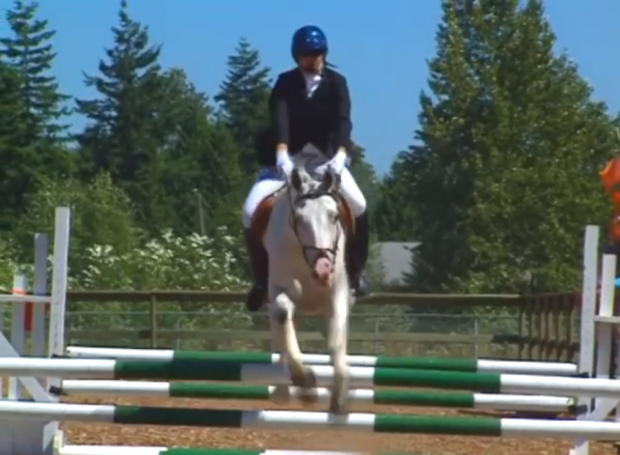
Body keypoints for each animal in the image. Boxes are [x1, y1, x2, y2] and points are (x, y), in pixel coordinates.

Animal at [256, 160, 354, 416]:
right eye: (299, 219)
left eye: (334, 216)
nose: (323, 269)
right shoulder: (279, 290)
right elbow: (283, 315)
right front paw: (304, 380)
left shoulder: (338, 293)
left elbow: (336, 341)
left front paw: (339, 397)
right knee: (280, 334)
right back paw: (283, 391)